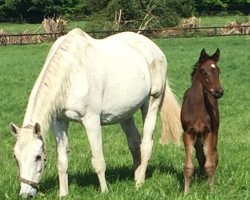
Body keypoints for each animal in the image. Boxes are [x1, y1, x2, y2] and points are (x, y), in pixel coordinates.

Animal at [10, 28, 182, 198]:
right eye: (15, 157)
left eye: (38, 157)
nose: (25, 194)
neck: (70, 73)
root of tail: (154, 48)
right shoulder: (59, 123)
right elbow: (62, 161)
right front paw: (63, 194)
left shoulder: (91, 121)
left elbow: (98, 160)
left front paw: (105, 191)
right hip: (126, 113)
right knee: (134, 143)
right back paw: (136, 178)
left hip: (152, 103)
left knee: (146, 145)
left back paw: (139, 183)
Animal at [181, 48, 224, 194]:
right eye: (205, 72)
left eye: (218, 71)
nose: (219, 92)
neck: (197, 107)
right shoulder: (188, 133)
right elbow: (188, 166)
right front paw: (186, 192)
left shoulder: (209, 132)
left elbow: (210, 163)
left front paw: (211, 191)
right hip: (198, 137)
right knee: (200, 155)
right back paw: (201, 176)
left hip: (214, 132)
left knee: (214, 155)